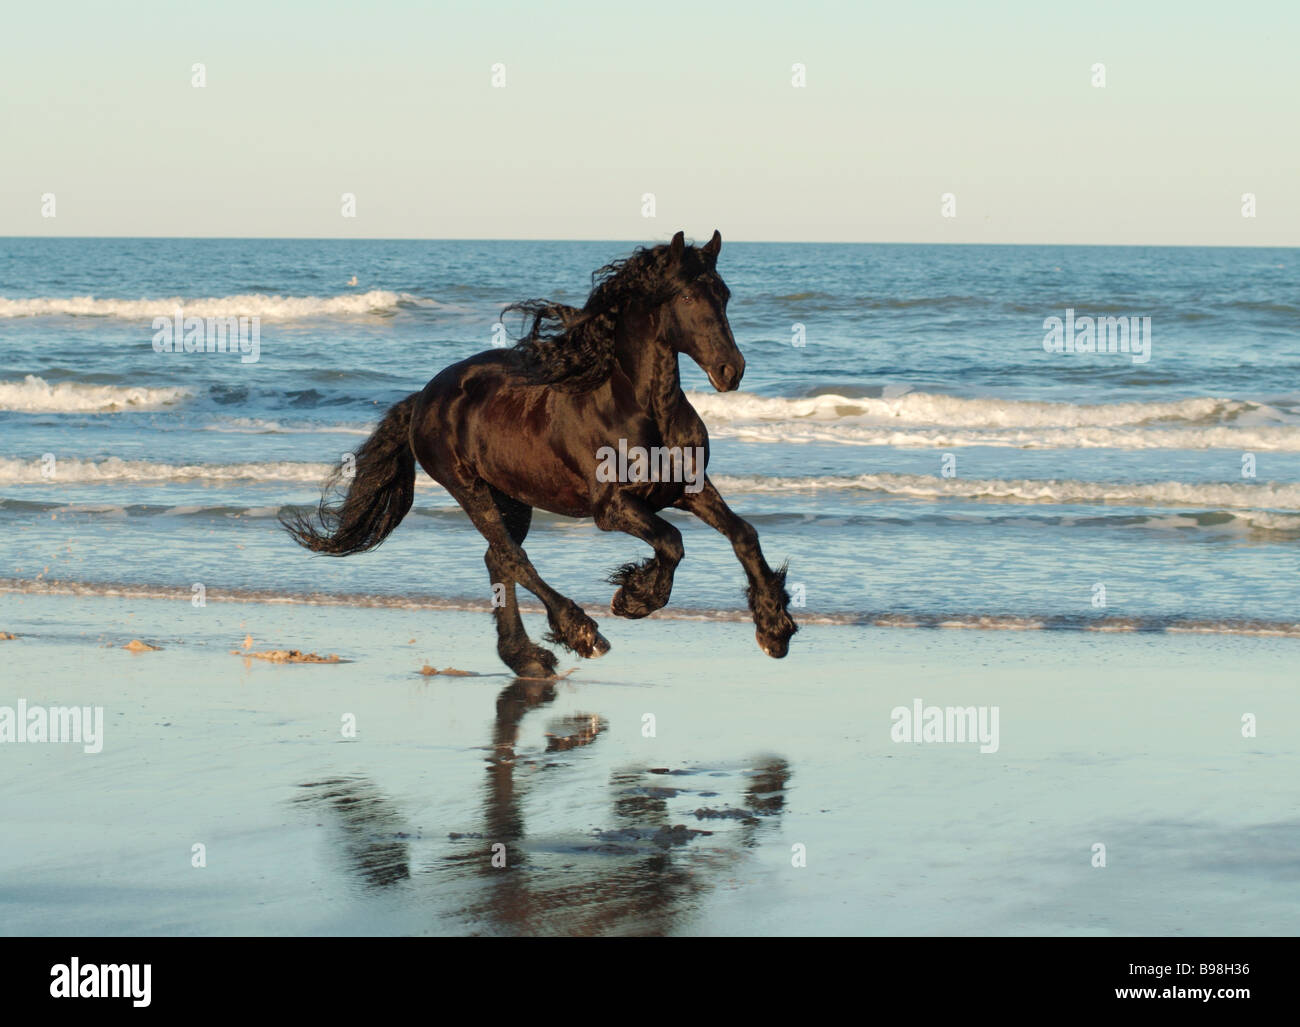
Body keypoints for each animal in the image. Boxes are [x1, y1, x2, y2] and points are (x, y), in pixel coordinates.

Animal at [281, 230, 798, 678]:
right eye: (687, 298)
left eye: (724, 295)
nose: (731, 370)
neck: (641, 411)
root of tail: (425, 397)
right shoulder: (613, 508)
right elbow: (671, 541)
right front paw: (633, 599)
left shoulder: (687, 489)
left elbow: (744, 535)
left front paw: (774, 630)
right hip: (468, 487)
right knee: (512, 559)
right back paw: (582, 633)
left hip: (513, 498)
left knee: (497, 559)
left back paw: (526, 657)